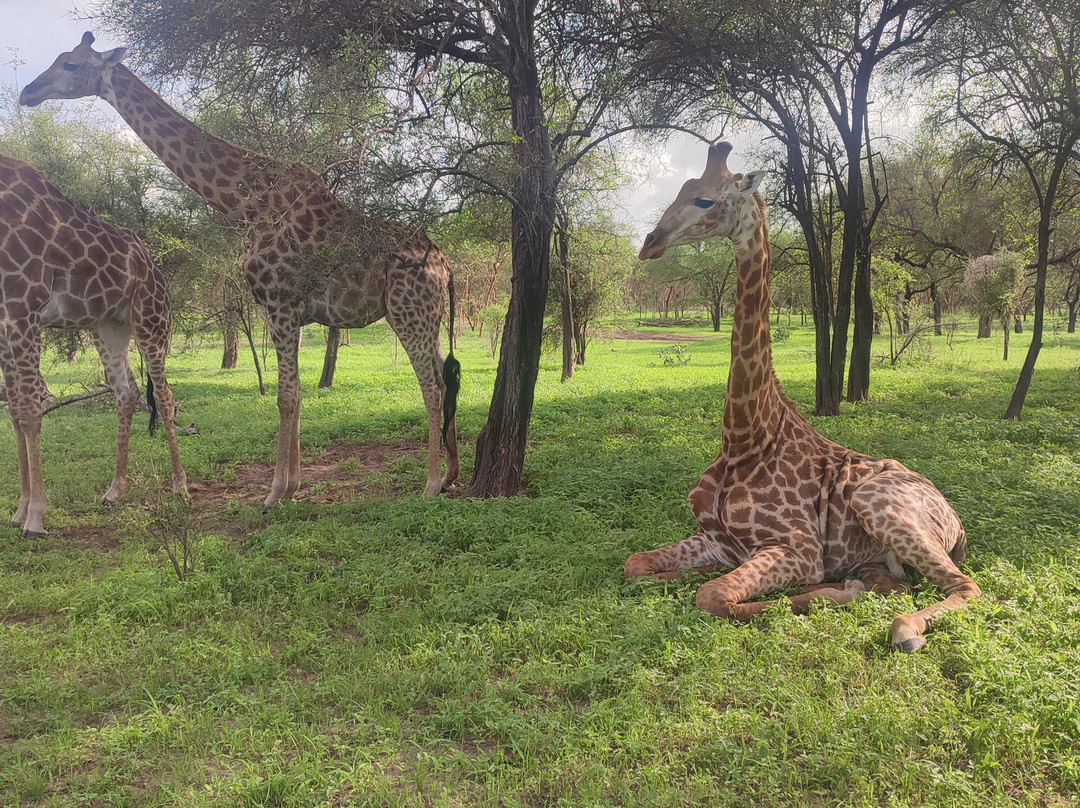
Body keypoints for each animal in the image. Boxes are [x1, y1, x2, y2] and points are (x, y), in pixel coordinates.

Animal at [0, 155, 185, 540]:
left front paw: (35, 517)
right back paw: (115, 490)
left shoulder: (24, 308)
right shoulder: (3, 321)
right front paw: (19, 511)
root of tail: (155, 266)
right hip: (107, 326)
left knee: (164, 395)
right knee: (127, 392)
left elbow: (30, 413)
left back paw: (180, 485)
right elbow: (14, 413)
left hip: (152, 320)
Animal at [22, 36, 460, 512]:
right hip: (430, 317)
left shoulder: (280, 305)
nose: (27, 91)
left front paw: (273, 494)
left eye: (71, 64)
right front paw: (293, 485)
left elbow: (286, 396)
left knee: (431, 384)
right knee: (446, 375)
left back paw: (430, 484)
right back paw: (451, 474)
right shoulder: (284, 312)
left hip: (407, 313)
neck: (245, 205)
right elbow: (297, 395)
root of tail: (445, 265)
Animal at [622, 141, 984, 652]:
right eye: (681, 190)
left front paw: (833, 593)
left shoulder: (800, 548)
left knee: (964, 586)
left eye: (705, 200)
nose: (650, 243)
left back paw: (904, 628)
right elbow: (636, 565)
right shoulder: (718, 540)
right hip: (882, 552)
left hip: (876, 502)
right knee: (898, 583)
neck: (743, 438)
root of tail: (956, 521)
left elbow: (714, 597)